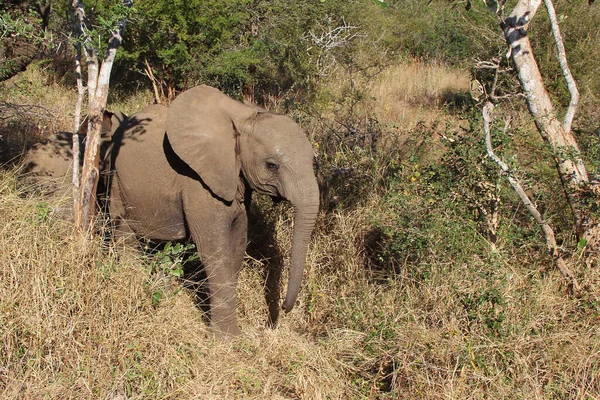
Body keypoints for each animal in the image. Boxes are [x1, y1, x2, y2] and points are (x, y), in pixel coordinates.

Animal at [109, 86, 322, 336]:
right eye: (272, 165)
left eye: (314, 164)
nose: (284, 309)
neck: (244, 118)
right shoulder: (197, 182)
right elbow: (214, 249)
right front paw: (229, 339)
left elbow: (237, 243)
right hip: (115, 178)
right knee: (124, 233)